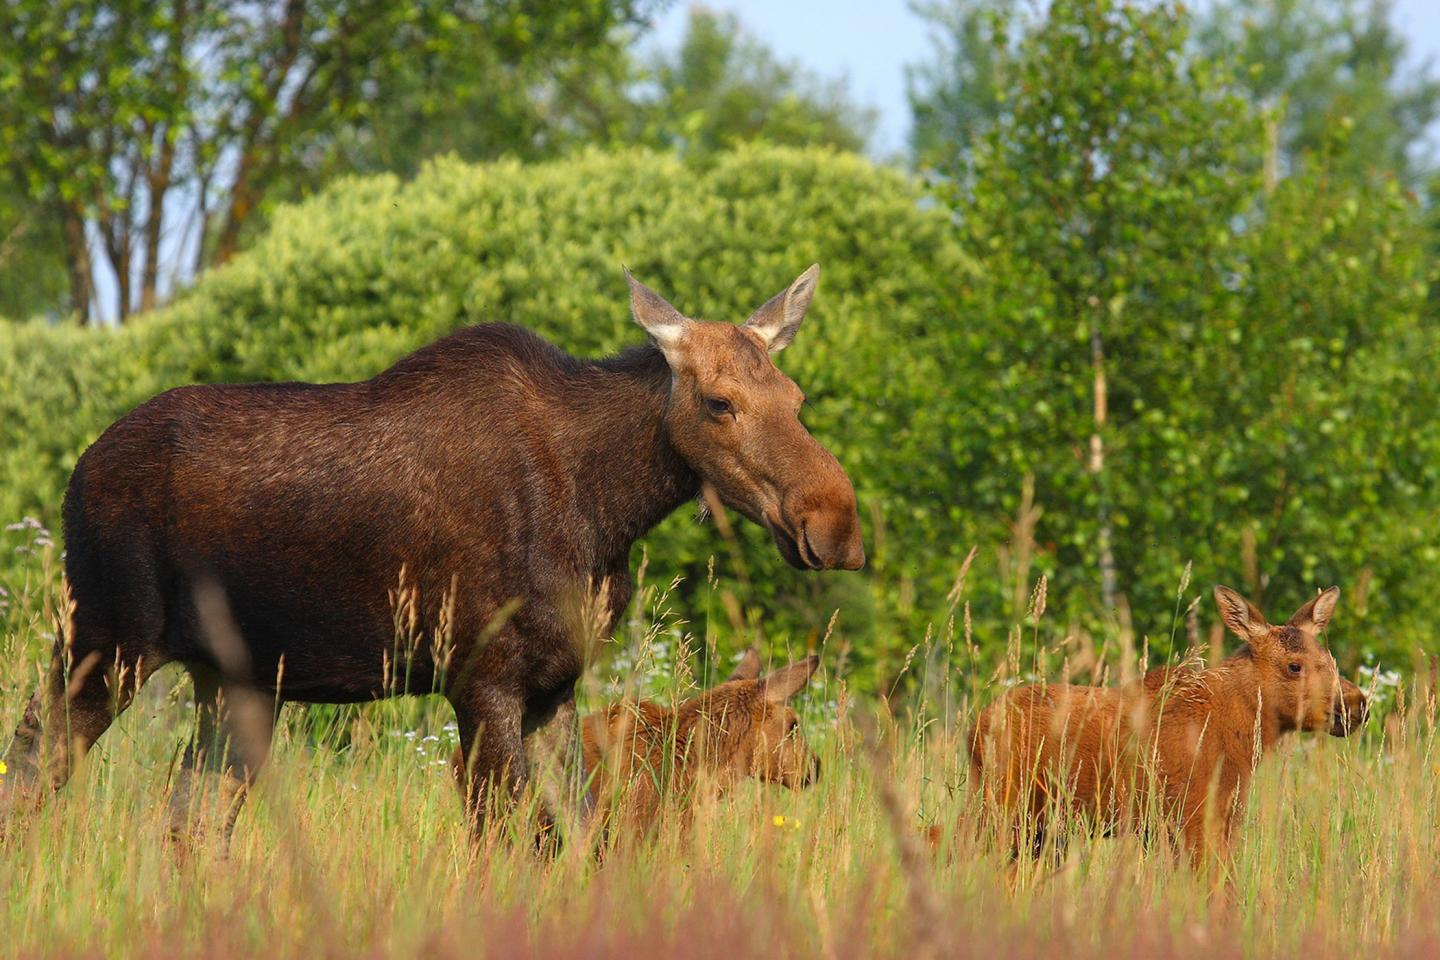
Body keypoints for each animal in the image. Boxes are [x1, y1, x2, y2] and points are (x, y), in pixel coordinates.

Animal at [1, 265, 863, 847]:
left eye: (796, 398)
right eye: (718, 402)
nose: (835, 523)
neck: (606, 511)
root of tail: (78, 472)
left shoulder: (555, 686)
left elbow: (580, 836)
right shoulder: (481, 678)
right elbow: (517, 839)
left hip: (232, 678)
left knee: (188, 821)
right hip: (105, 640)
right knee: (34, 769)